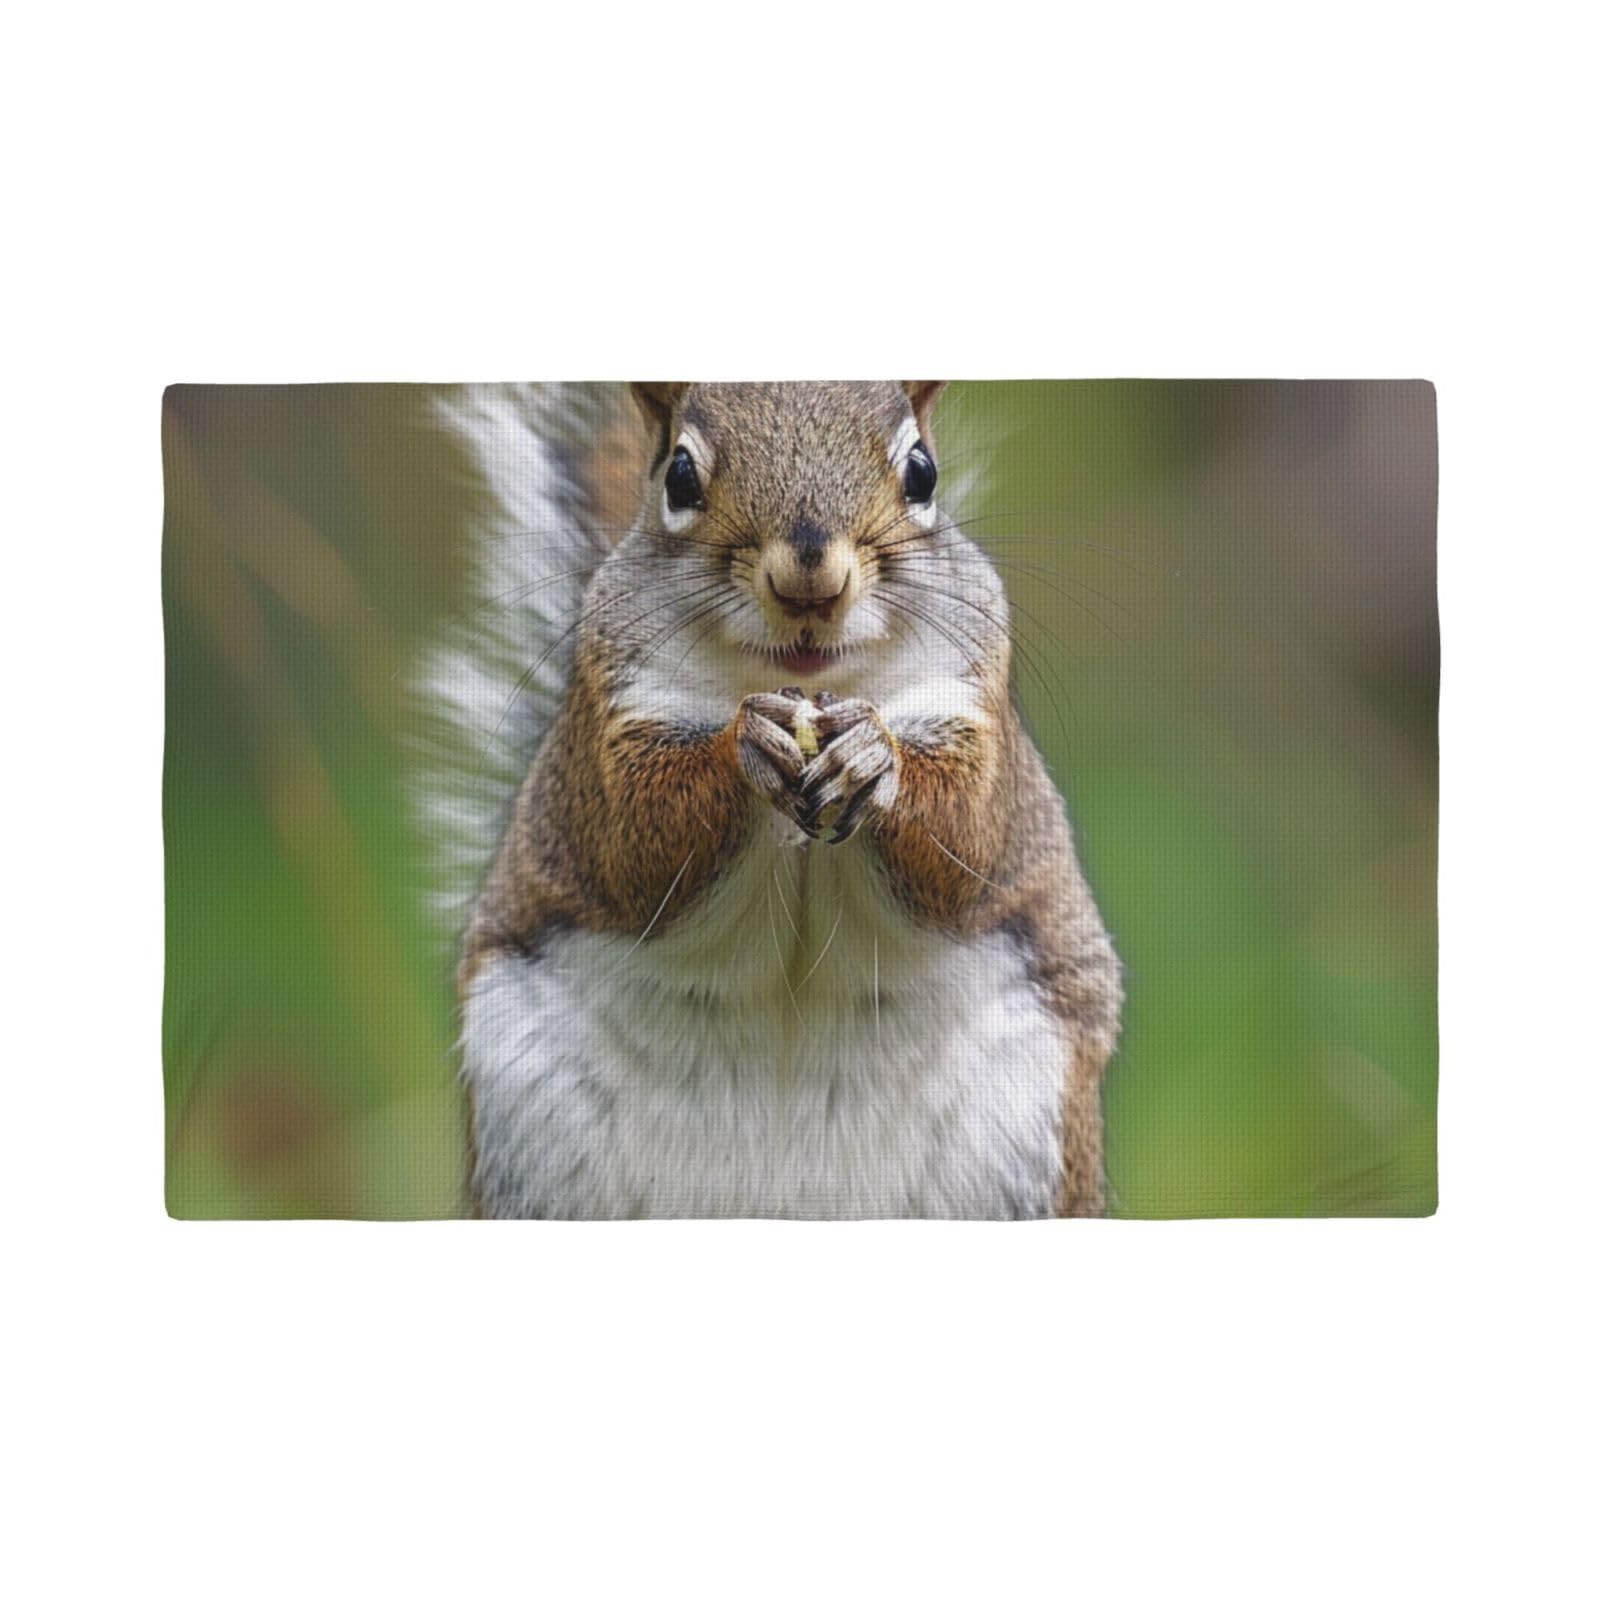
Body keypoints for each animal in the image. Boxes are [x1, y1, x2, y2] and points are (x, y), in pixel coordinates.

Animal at [419, 382, 1122, 1218]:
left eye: (922, 472)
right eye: (679, 476)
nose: (809, 585)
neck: (807, 681)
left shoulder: (977, 712)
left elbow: (969, 841)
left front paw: (873, 755)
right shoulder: (606, 723)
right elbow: (631, 840)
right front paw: (743, 744)